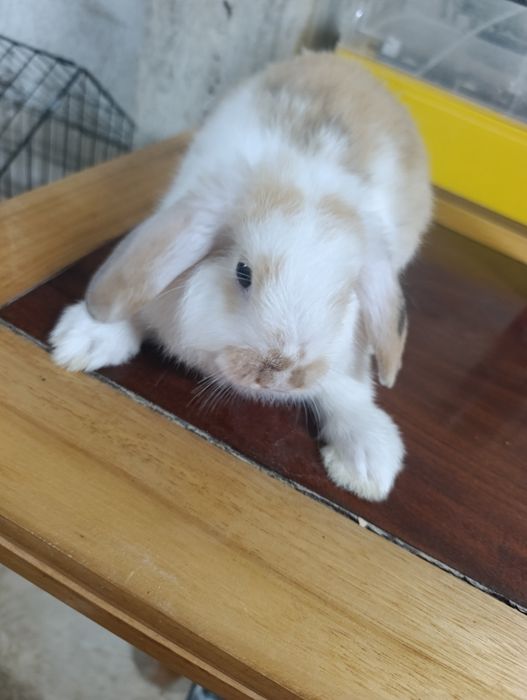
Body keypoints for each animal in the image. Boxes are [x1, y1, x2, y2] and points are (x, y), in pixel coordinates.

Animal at [50, 52, 432, 501]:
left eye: (345, 297)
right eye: (242, 272)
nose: (280, 372)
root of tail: (351, 67)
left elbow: (348, 390)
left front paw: (369, 464)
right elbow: (134, 304)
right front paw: (81, 339)